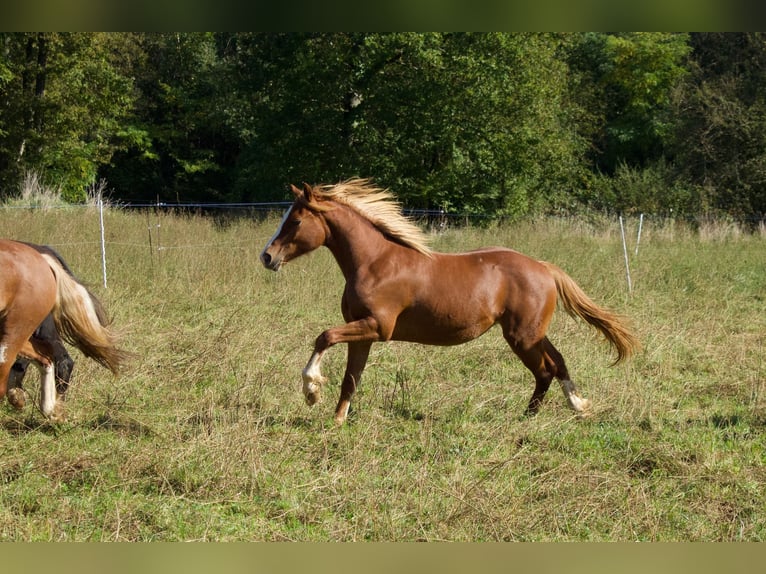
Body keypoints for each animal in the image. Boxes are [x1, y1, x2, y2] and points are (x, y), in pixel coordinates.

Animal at [260, 180, 640, 428]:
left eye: (295, 220)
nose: (267, 257)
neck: (375, 262)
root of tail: (544, 267)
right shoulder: (364, 332)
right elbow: (351, 377)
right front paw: (338, 419)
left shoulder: (377, 327)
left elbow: (323, 336)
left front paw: (311, 391)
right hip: (530, 333)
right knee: (557, 363)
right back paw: (576, 407)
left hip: (522, 337)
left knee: (545, 369)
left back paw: (530, 418)